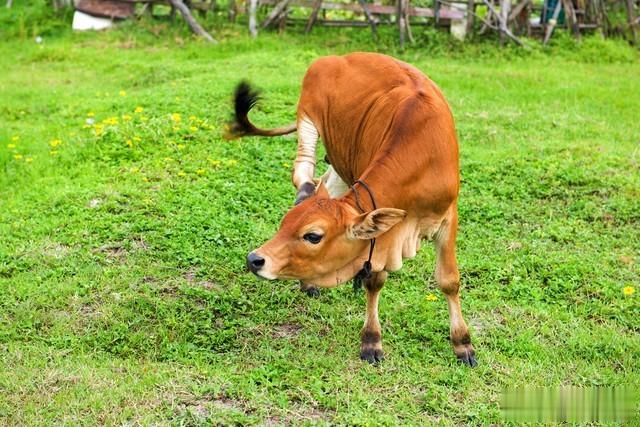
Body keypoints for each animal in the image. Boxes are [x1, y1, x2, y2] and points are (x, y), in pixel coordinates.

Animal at [229, 52, 476, 368]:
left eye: (313, 236)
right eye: (283, 224)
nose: (254, 259)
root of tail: (331, 58)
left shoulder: (447, 217)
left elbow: (449, 281)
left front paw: (463, 344)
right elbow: (375, 280)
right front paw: (371, 341)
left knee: (321, 183)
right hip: (307, 120)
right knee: (303, 174)